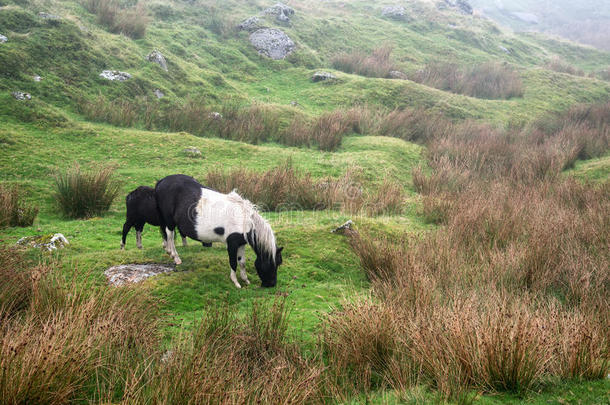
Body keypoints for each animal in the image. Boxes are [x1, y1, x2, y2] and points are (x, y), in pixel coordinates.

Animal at [154, 174, 282, 288]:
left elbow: (242, 262)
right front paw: (236, 282)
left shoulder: (241, 243)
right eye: (273, 263)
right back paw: (175, 257)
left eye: (278, 263)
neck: (244, 220)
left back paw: (168, 251)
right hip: (169, 221)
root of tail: (161, 181)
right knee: (170, 236)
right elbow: (233, 262)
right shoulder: (231, 244)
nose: (271, 284)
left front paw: (245, 280)